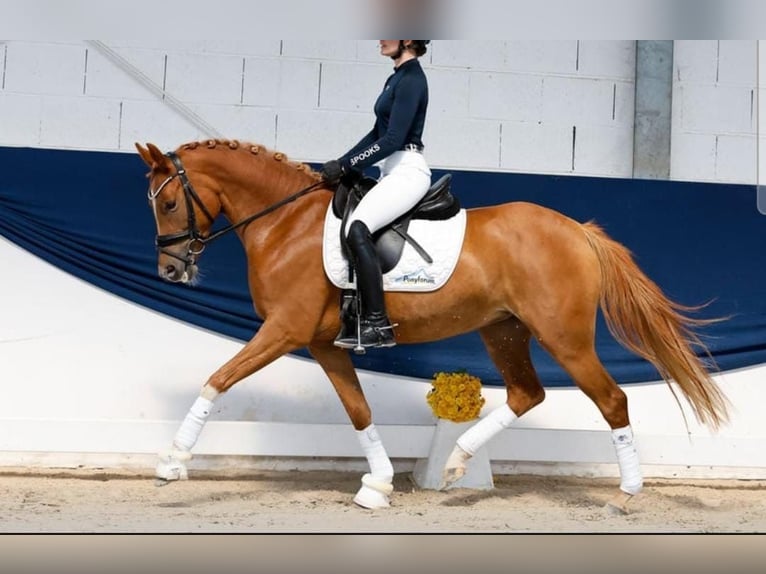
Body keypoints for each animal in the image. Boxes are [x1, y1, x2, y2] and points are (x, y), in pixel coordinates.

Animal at [135, 138, 730, 512]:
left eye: (169, 203)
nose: (171, 271)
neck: (285, 223)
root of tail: (579, 231)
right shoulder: (323, 343)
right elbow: (359, 411)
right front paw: (377, 486)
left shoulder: (284, 330)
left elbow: (218, 378)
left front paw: (172, 462)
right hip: (503, 330)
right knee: (527, 393)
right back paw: (456, 465)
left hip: (564, 337)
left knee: (610, 400)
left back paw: (626, 493)